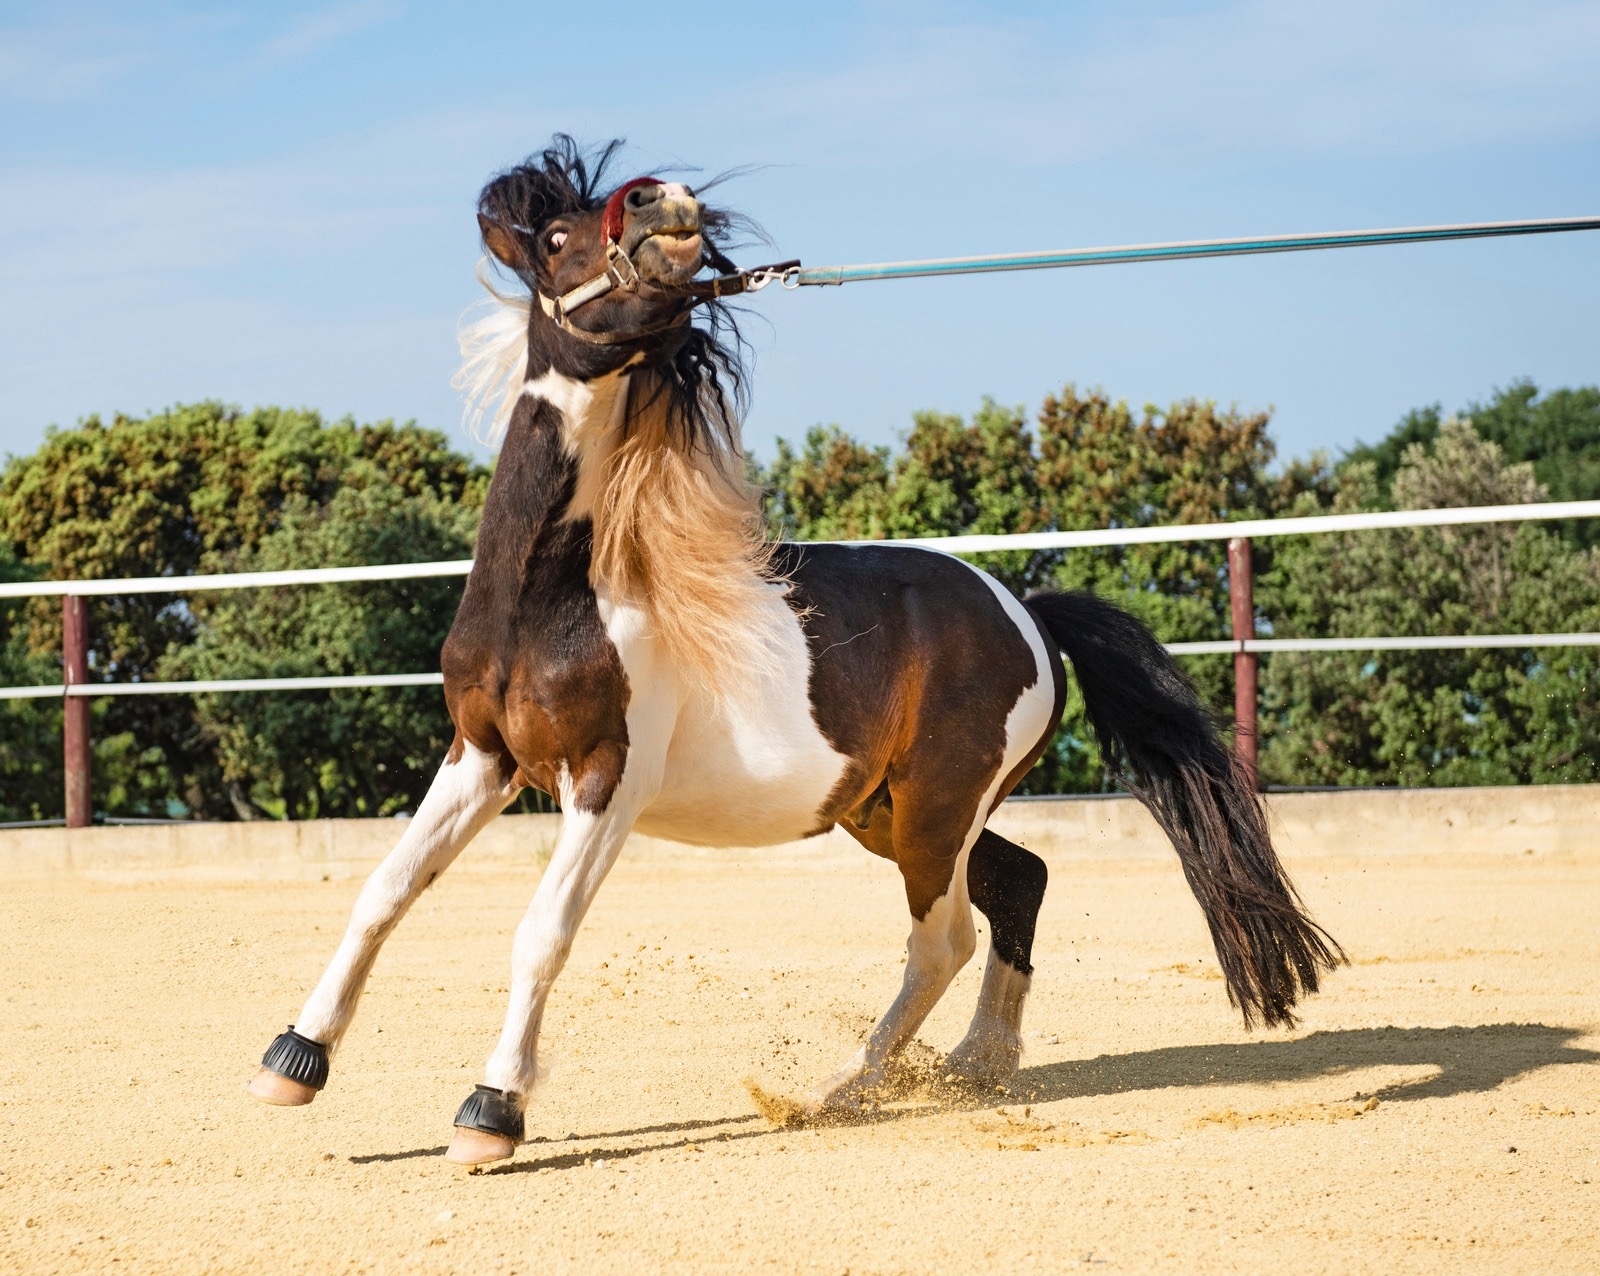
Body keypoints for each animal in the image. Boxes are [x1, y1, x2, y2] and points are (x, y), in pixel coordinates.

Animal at [243, 137, 1337, 1170]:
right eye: (554, 238)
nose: (662, 202)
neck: (555, 601)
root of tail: (1024, 612)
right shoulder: (482, 753)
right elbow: (383, 893)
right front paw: (293, 1061)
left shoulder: (606, 778)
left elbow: (540, 934)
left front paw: (490, 1113)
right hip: (889, 811)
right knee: (1016, 883)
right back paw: (971, 1066)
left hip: (933, 811)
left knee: (943, 937)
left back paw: (839, 1091)